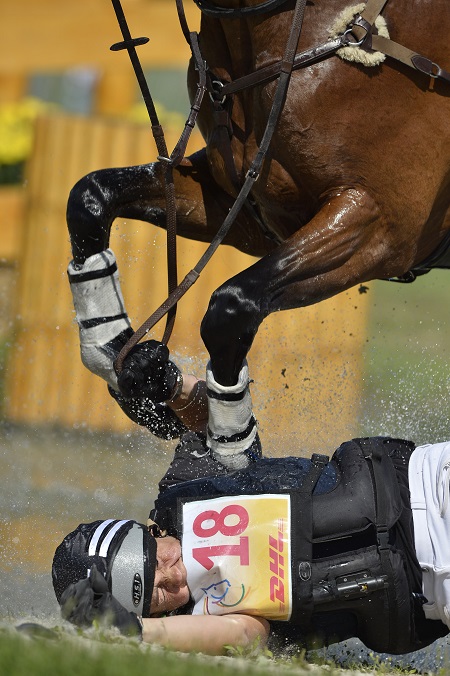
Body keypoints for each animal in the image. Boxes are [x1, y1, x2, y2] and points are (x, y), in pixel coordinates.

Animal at [65, 0, 450, 464]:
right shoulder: (244, 209)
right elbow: (90, 198)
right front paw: (129, 364)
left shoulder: (380, 227)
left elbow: (231, 308)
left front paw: (233, 446)